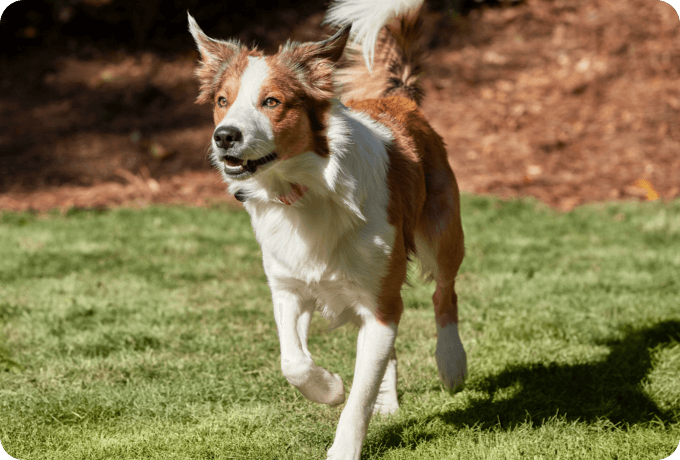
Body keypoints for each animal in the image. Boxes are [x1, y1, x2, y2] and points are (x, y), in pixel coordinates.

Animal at [189, 0, 468, 456]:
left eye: (272, 101)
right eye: (221, 100)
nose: (224, 136)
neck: (305, 191)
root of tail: (397, 99)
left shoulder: (380, 305)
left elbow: (360, 394)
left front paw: (344, 447)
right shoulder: (290, 287)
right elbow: (294, 363)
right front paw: (330, 387)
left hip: (442, 235)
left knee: (445, 292)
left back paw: (452, 364)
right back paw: (389, 401)